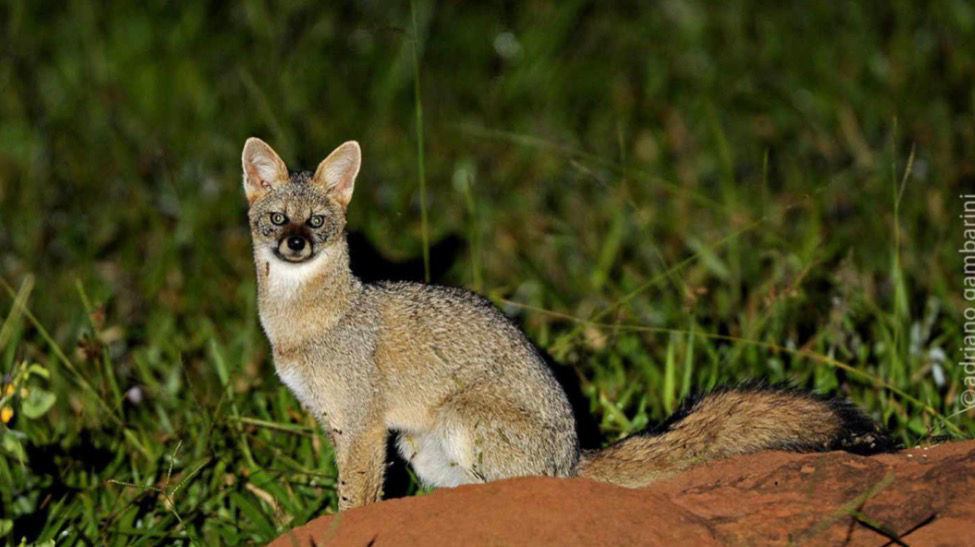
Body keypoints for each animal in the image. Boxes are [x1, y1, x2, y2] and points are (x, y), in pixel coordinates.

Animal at [241, 137, 892, 510]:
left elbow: (356, 499)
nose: (295, 244)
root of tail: (575, 454)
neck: (303, 324)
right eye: (276, 219)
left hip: (458, 424)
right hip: (423, 451)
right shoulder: (344, 427)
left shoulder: (363, 427)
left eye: (317, 222)